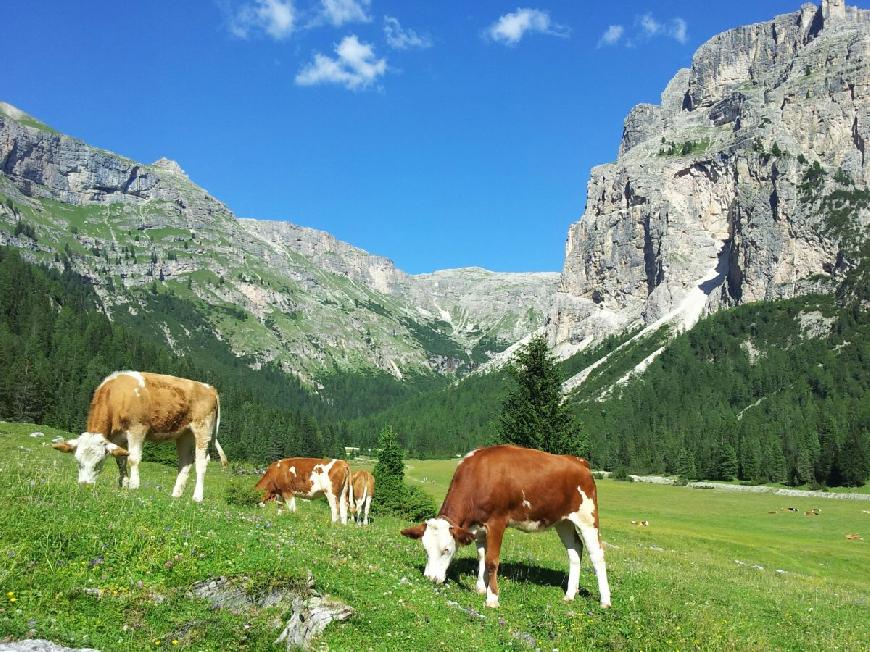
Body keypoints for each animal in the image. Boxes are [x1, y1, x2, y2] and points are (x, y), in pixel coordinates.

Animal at [50, 370, 228, 502]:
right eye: (77, 462)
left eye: (99, 462)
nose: (85, 485)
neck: (117, 395)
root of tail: (209, 387)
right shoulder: (117, 438)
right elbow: (121, 460)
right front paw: (123, 484)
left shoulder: (137, 429)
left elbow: (133, 458)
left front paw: (134, 485)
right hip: (184, 435)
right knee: (185, 462)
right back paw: (176, 494)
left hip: (203, 430)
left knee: (202, 462)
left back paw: (197, 497)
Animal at [400, 446, 608, 608]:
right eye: (425, 549)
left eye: (446, 549)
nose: (430, 578)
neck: (479, 476)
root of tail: (579, 461)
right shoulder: (478, 528)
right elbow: (482, 557)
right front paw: (480, 587)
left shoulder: (497, 522)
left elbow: (492, 561)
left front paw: (492, 598)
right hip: (563, 521)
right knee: (575, 550)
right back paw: (570, 595)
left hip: (587, 517)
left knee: (597, 554)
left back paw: (605, 601)